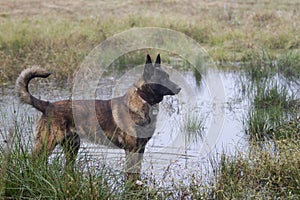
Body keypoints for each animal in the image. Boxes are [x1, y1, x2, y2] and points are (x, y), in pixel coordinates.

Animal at [15, 54, 180, 180]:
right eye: (162, 79)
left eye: (168, 77)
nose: (179, 88)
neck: (142, 99)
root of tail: (48, 105)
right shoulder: (131, 150)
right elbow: (131, 175)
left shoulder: (140, 149)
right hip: (45, 146)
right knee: (33, 163)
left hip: (72, 148)